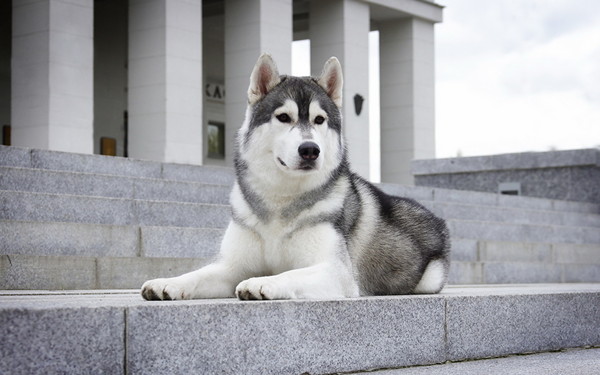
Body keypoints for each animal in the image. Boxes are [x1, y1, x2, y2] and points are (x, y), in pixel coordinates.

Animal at [142, 54, 450, 302]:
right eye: (283, 117)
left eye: (319, 120)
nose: (310, 150)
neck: (281, 202)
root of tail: (436, 219)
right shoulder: (231, 266)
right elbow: (197, 274)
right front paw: (167, 282)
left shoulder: (337, 272)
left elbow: (289, 274)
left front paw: (262, 282)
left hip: (428, 278)